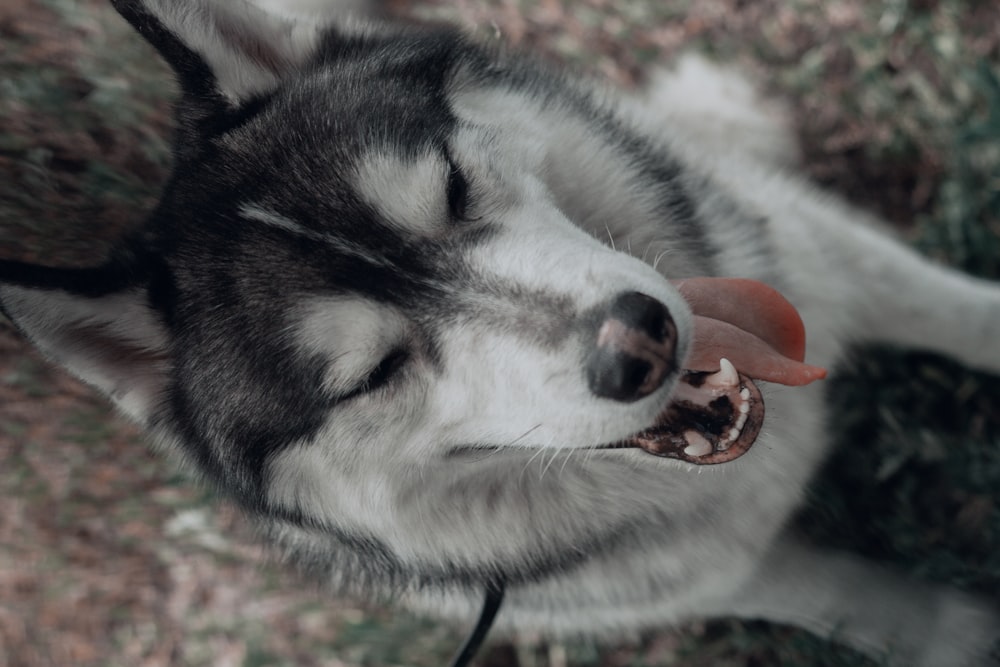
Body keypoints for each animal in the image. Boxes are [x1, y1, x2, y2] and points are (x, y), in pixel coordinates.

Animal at [1, 0, 1000, 664]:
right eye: (373, 373)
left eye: (451, 188)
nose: (641, 342)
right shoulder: (703, 578)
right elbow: (840, 596)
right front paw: (958, 632)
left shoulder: (818, 252)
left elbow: (954, 310)